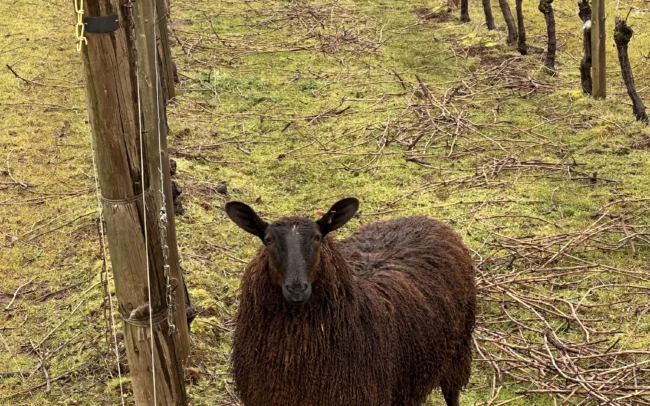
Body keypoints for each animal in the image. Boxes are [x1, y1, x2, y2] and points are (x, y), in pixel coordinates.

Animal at [225, 198, 476, 406]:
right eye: (268, 240)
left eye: (318, 238)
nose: (297, 288)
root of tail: (423, 219)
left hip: (458, 351)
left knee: (452, 394)